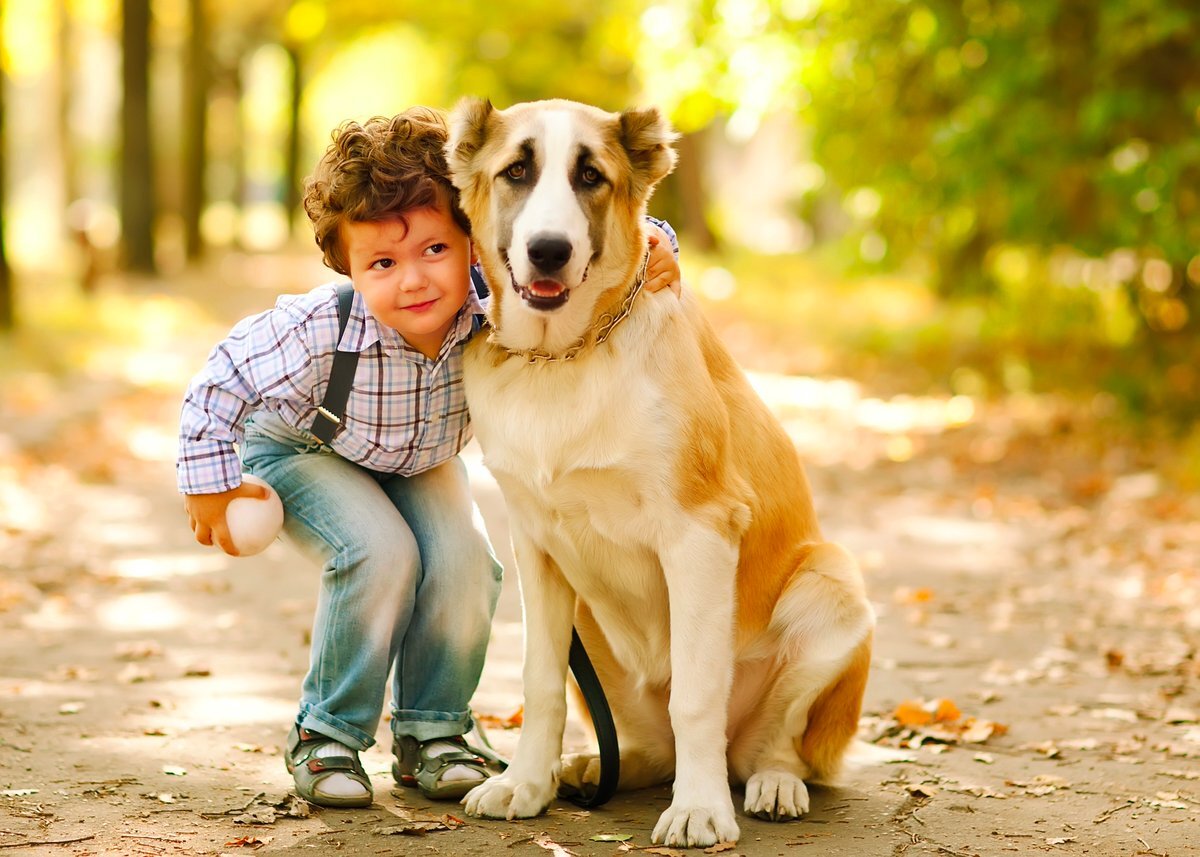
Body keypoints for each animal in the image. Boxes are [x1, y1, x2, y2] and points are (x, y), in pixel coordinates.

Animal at [446, 96, 878, 844]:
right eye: (517, 171)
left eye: (591, 176)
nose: (549, 250)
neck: (565, 360)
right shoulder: (537, 546)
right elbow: (537, 680)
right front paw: (525, 784)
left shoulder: (700, 534)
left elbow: (698, 693)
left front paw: (700, 808)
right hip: (590, 624)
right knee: (650, 746)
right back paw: (589, 767)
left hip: (835, 589)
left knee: (774, 741)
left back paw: (770, 782)